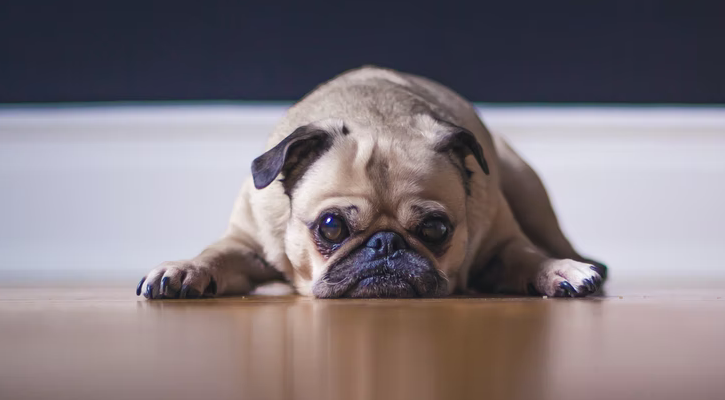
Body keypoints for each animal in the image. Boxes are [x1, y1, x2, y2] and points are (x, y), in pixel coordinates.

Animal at [136, 65, 604, 300]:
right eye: (330, 227)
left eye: (436, 229)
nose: (386, 243)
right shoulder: (244, 243)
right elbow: (214, 254)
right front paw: (185, 269)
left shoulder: (501, 244)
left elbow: (528, 256)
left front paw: (559, 270)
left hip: (526, 187)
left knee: (551, 239)